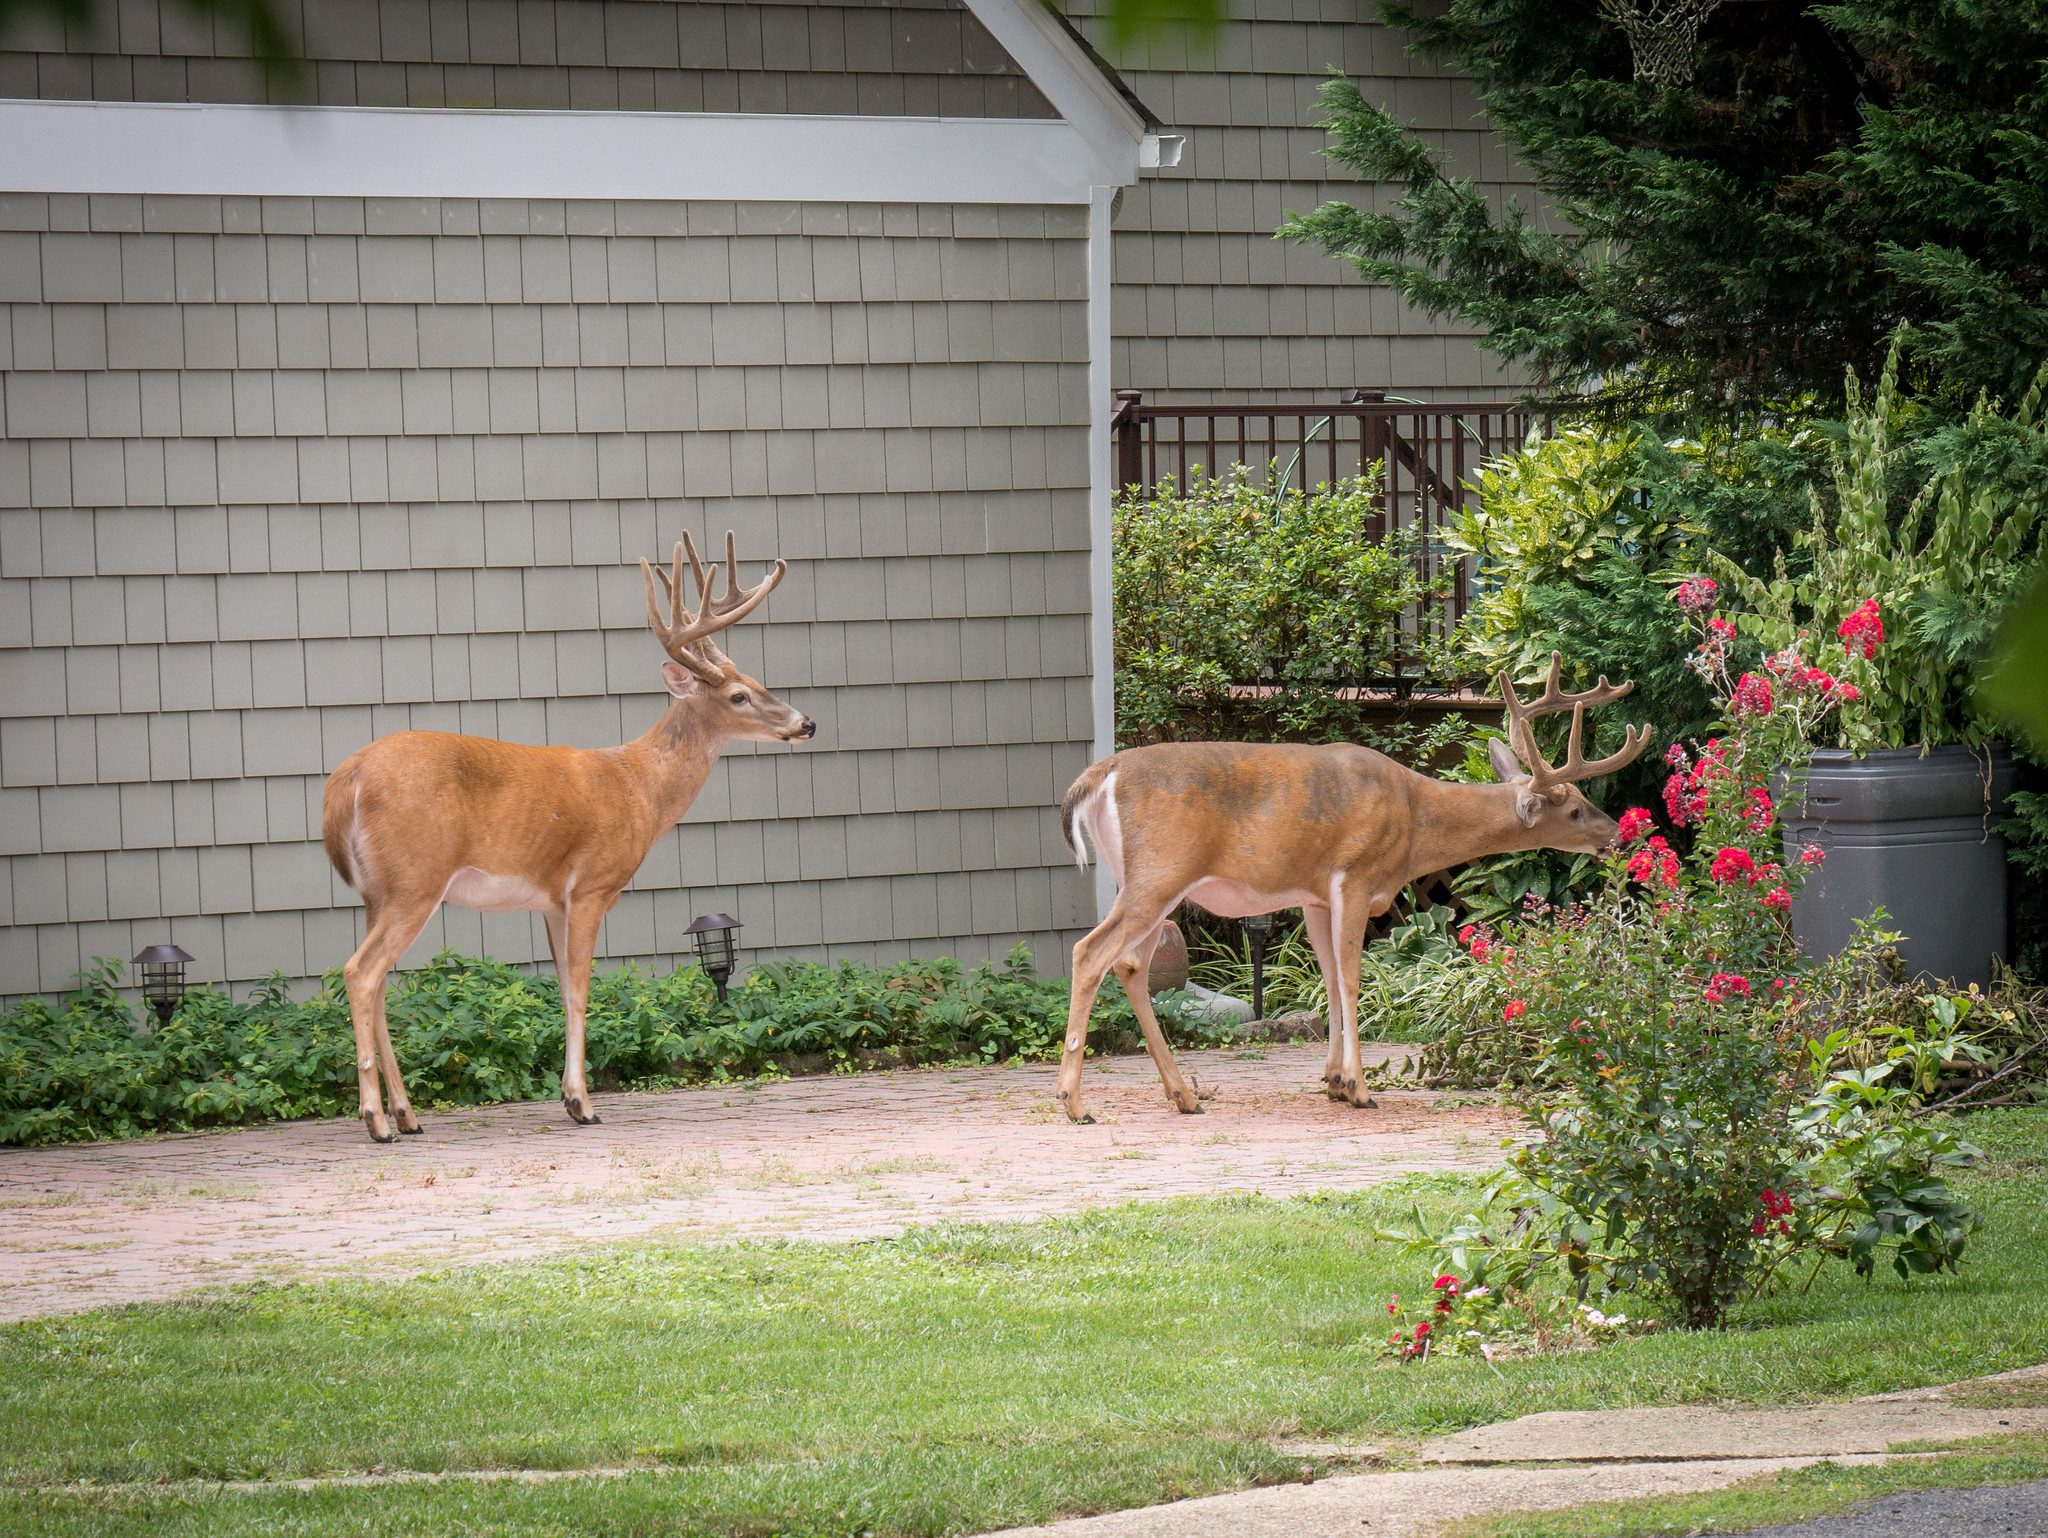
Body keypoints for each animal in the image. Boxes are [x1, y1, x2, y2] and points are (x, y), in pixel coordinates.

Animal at [320, 532, 814, 1143]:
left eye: (759, 683)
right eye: (740, 695)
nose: (806, 723)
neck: (638, 788)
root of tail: (346, 780)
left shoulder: (552, 900)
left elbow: (559, 987)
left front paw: (568, 1095)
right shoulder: (592, 884)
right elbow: (580, 988)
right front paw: (582, 1102)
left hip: (377, 891)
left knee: (380, 982)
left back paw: (407, 1115)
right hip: (416, 879)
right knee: (360, 972)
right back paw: (376, 1120)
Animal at [1054, 654, 1652, 1122]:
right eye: (1574, 810)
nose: (1616, 833)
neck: (1414, 820)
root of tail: (1099, 776)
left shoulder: (1317, 894)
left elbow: (1328, 977)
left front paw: (1334, 1082)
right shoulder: (1357, 877)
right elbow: (1351, 978)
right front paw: (1361, 1089)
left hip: (1148, 882)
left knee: (1131, 964)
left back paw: (1183, 1096)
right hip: (1160, 873)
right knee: (1090, 953)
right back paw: (1075, 1103)